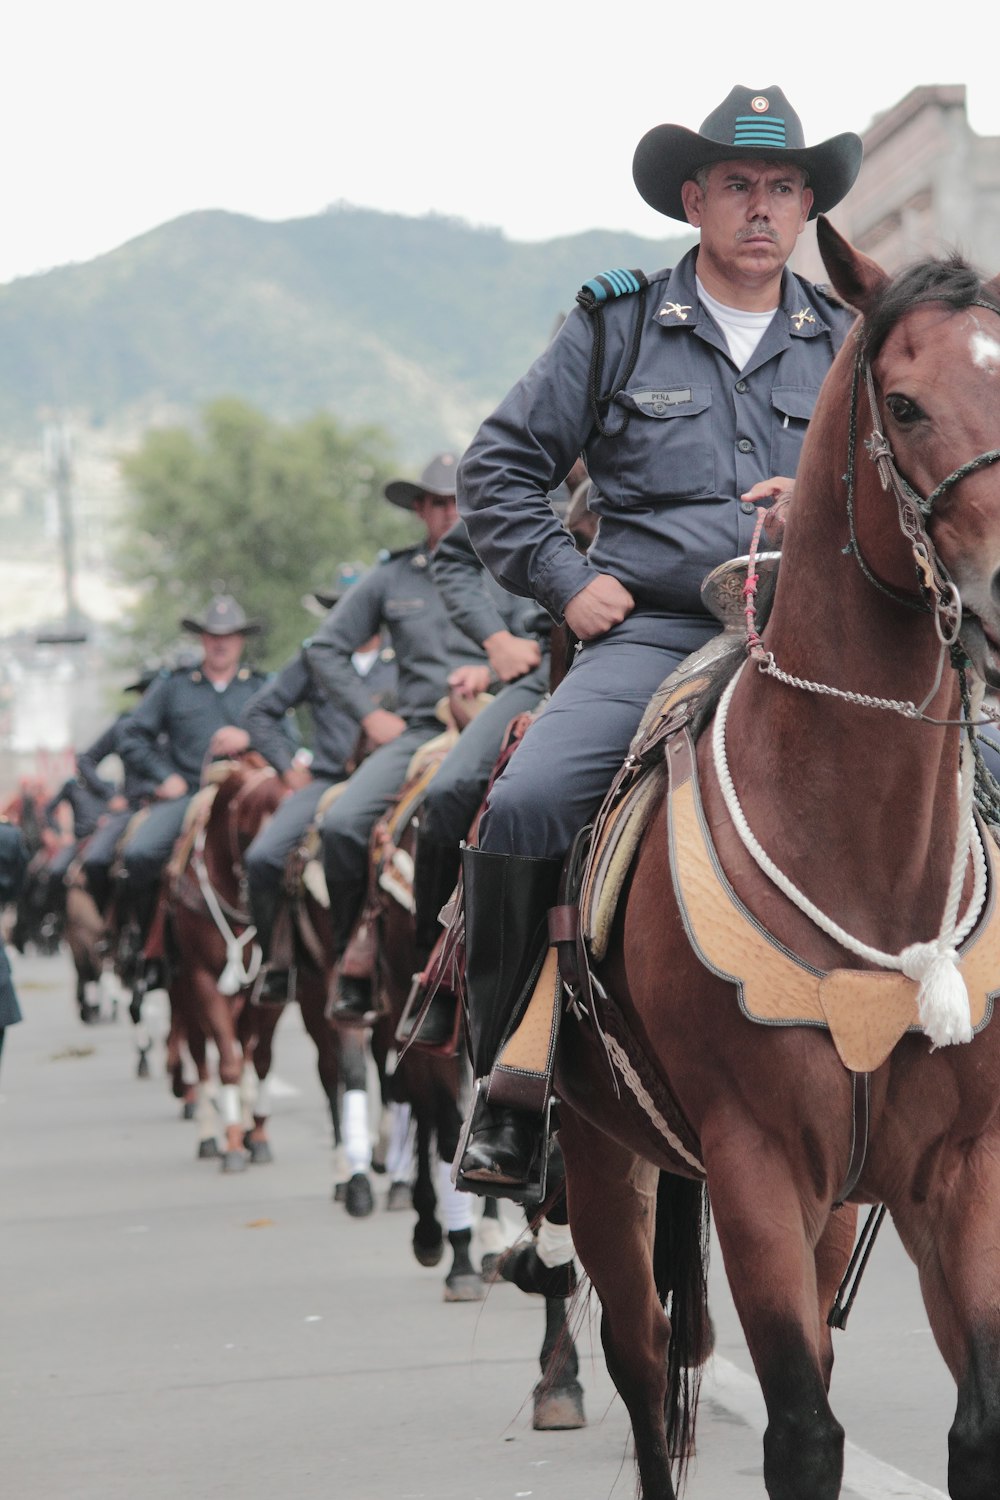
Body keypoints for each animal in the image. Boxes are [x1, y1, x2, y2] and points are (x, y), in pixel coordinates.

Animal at [554, 217, 1000, 1494]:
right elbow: (802, 1433)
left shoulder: (957, 1170)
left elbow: (977, 1428)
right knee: (640, 1364)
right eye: (903, 403)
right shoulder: (753, 1166)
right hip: (598, 1158)